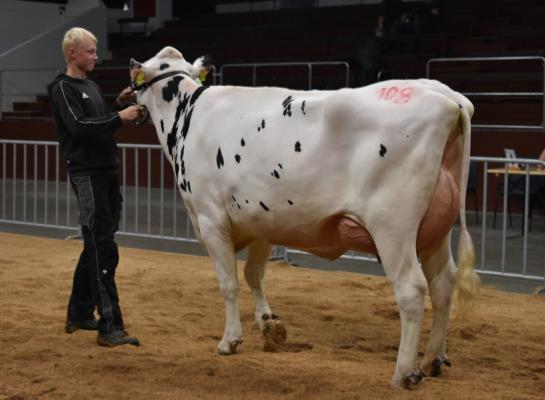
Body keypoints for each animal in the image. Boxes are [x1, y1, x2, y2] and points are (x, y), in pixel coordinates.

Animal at [130, 47, 478, 388]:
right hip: (436, 230)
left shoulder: (210, 218)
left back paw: (404, 373)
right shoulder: (262, 221)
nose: (126, 97)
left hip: (392, 227)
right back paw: (432, 359)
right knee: (443, 283)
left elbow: (229, 283)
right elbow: (254, 274)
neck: (187, 113)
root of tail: (447, 99)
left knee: (411, 289)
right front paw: (268, 324)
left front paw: (230, 341)